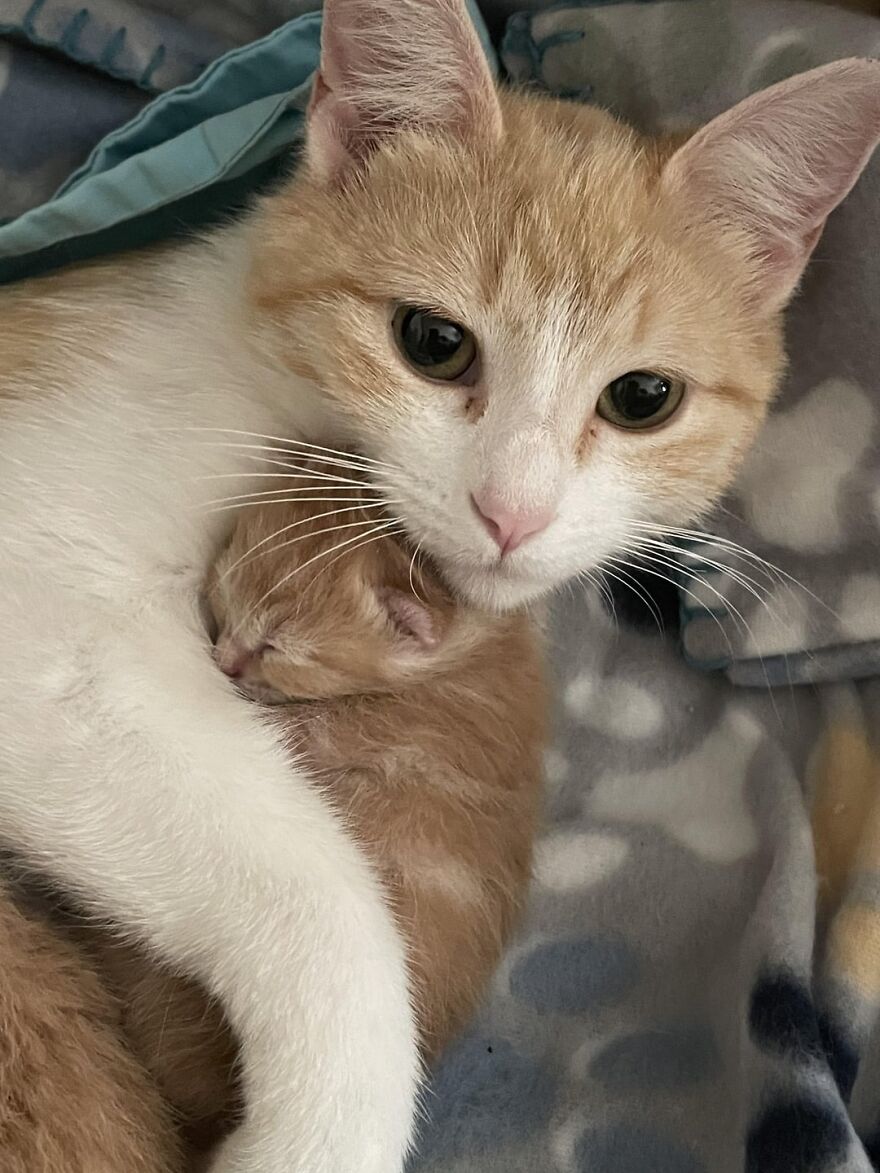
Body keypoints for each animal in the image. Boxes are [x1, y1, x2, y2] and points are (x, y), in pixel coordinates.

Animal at [0, 0, 877, 1168]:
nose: (512, 513)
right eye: (431, 342)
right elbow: (323, 900)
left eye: (643, 398)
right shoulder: (43, 615)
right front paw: (321, 1135)